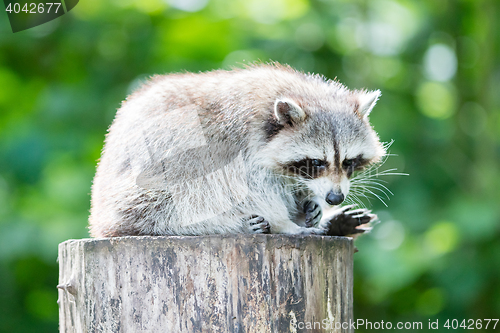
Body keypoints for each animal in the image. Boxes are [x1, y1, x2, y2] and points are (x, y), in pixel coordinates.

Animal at [90, 63, 384, 237]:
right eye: (317, 162)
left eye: (349, 162)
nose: (335, 198)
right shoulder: (236, 144)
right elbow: (254, 189)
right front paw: (286, 224)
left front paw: (310, 204)